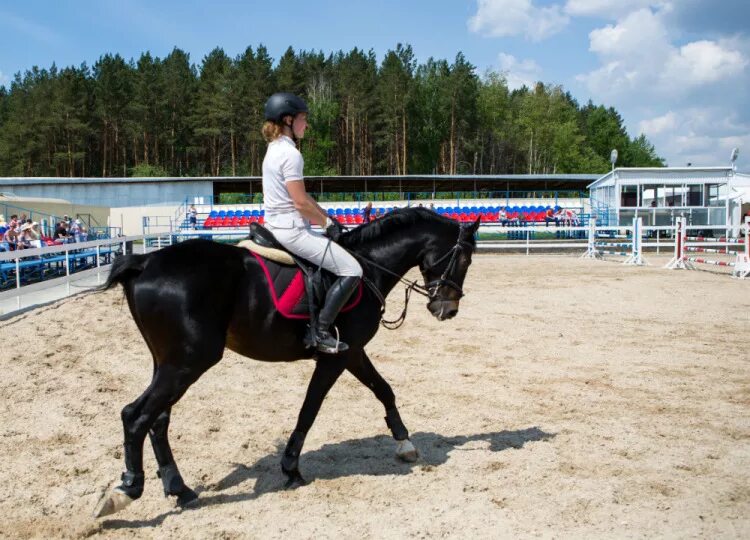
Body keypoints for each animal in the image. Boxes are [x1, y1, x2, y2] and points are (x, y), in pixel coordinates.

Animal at [95, 208, 482, 520]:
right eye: (464, 260)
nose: (447, 310)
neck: (368, 266)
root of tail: (145, 262)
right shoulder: (337, 356)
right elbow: (309, 409)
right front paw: (291, 469)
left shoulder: (353, 352)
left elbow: (384, 390)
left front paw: (404, 442)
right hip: (189, 362)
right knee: (136, 416)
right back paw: (126, 491)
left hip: (168, 362)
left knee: (158, 419)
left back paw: (180, 489)